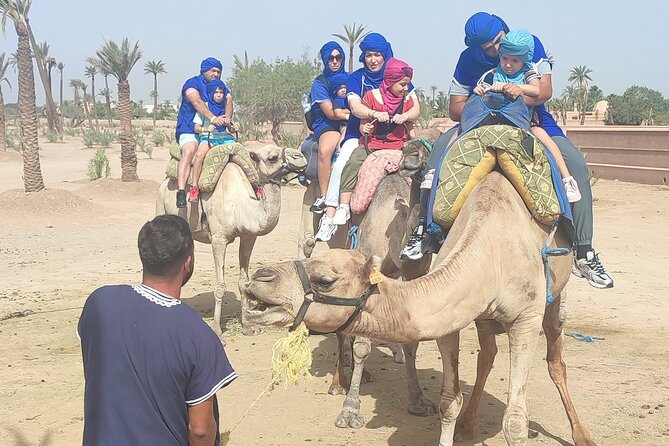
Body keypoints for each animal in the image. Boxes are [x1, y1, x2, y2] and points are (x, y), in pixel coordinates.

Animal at [157, 145, 306, 336]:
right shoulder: (219, 239)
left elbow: (244, 283)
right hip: (160, 206)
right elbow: (220, 287)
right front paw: (217, 329)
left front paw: (248, 327)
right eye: (272, 157)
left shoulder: (249, 236)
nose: (299, 155)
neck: (240, 205)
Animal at [243, 172, 592, 446]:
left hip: (554, 301)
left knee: (556, 360)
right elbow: (449, 402)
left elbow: (515, 421)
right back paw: (467, 426)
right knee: (487, 356)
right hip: (483, 318)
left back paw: (582, 435)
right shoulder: (452, 316)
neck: (491, 254)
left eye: (325, 280)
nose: (261, 277)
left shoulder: (525, 318)